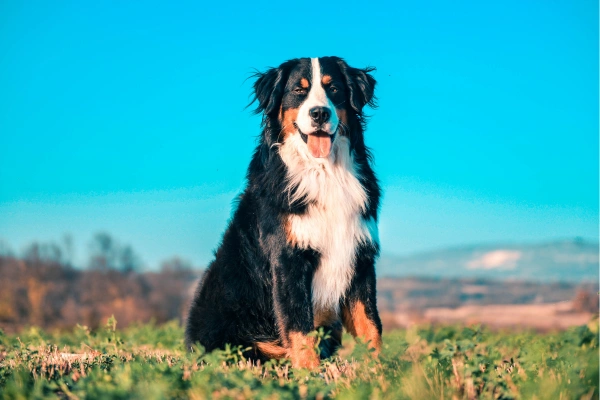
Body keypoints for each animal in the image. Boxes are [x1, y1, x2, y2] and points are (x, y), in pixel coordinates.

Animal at [185, 56, 382, 368]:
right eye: (299, 91)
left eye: (334, 89)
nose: (319, 113)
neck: (324, 173)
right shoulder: (288, 260)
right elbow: (299, 328)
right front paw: (310, 375)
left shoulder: (360, 258)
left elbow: (370, 325)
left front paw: (381, 373)